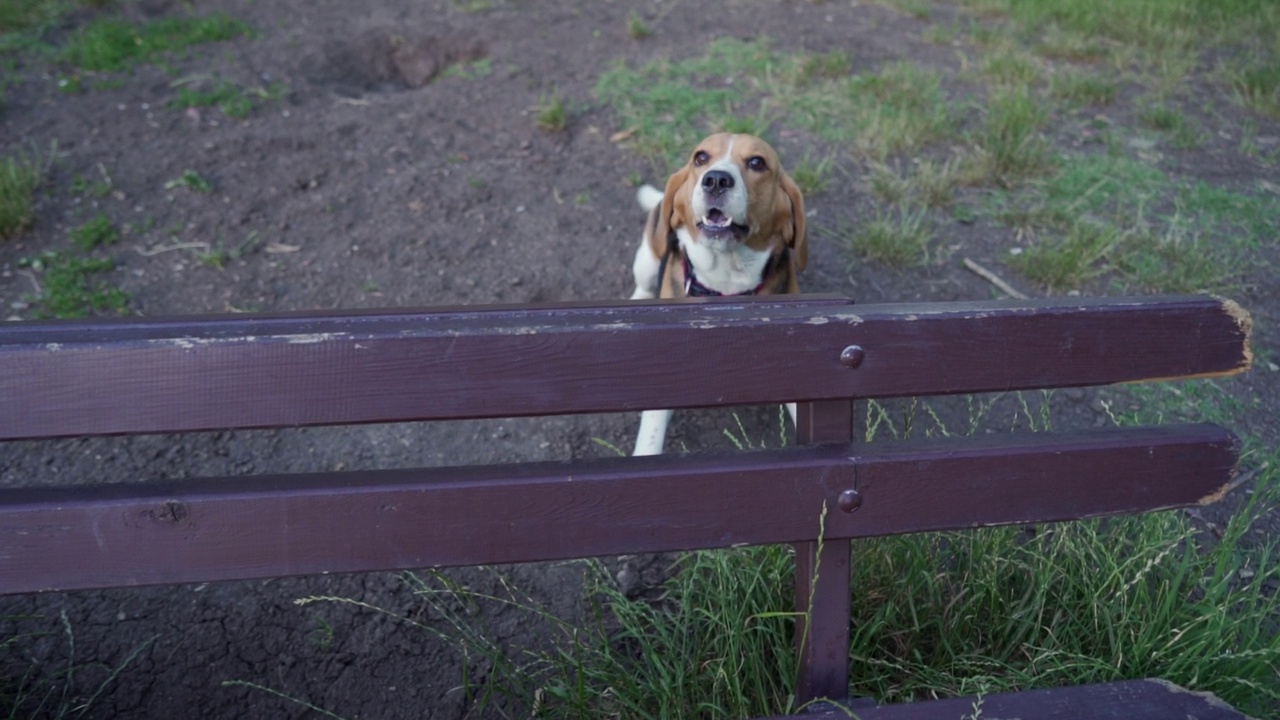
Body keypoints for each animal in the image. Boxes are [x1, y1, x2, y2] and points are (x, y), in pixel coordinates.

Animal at [629, 131, 808, 450]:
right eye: (701, 158)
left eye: (757, 163)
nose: (715, 180)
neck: (727, 283)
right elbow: (650, 437)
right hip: (648, 256)